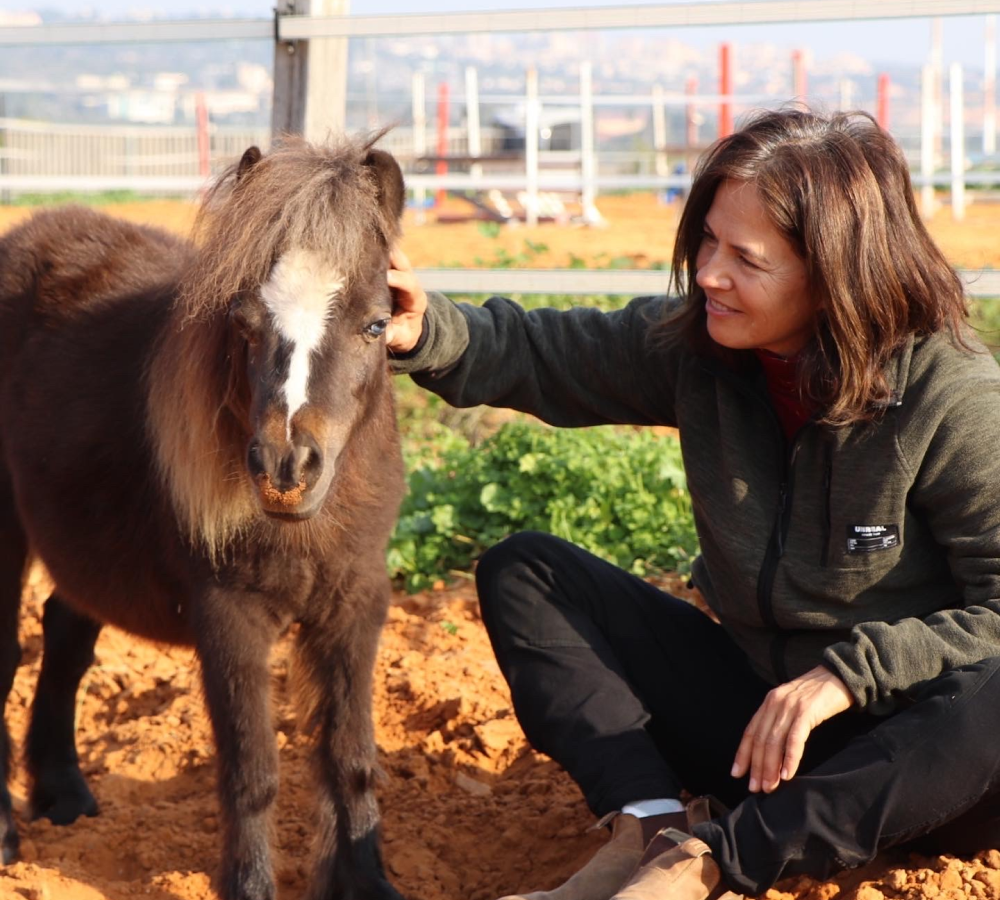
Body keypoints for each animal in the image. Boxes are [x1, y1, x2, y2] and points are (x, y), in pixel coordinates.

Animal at [0, 134, 410, 900]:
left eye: (376, 324)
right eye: (243, 324)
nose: (285, 468)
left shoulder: (354, 607)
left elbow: (349, 757)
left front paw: (366, 881)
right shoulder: (228, 617)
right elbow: (253, 774)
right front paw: (248, 886)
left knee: (65, 636)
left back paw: (63, 795)